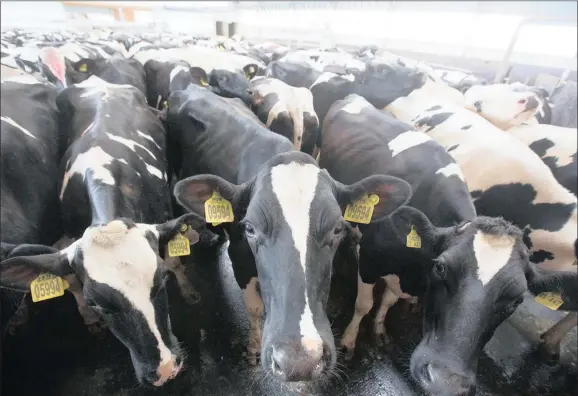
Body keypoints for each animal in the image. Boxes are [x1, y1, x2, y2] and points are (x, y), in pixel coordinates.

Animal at [0, 75, 205, 386]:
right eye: (98, 303)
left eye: (160, 283)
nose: (165, 369)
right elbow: (71, 281)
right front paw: (90, 319)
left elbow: (175, 259)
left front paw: (189, 291)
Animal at [162, 85, 410, 382]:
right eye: (250, 228)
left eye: (337, 228)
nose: (300, 360)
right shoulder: (239, 257)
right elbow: (254, 306)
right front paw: (253, 347)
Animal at [320, 93, 576, 396]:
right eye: (441, 268)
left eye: (516, 300)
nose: (445, 382)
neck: (412, 272)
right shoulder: (371, 260)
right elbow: (363, 304)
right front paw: (349, 341)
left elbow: (388, 301)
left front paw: (380, 329)